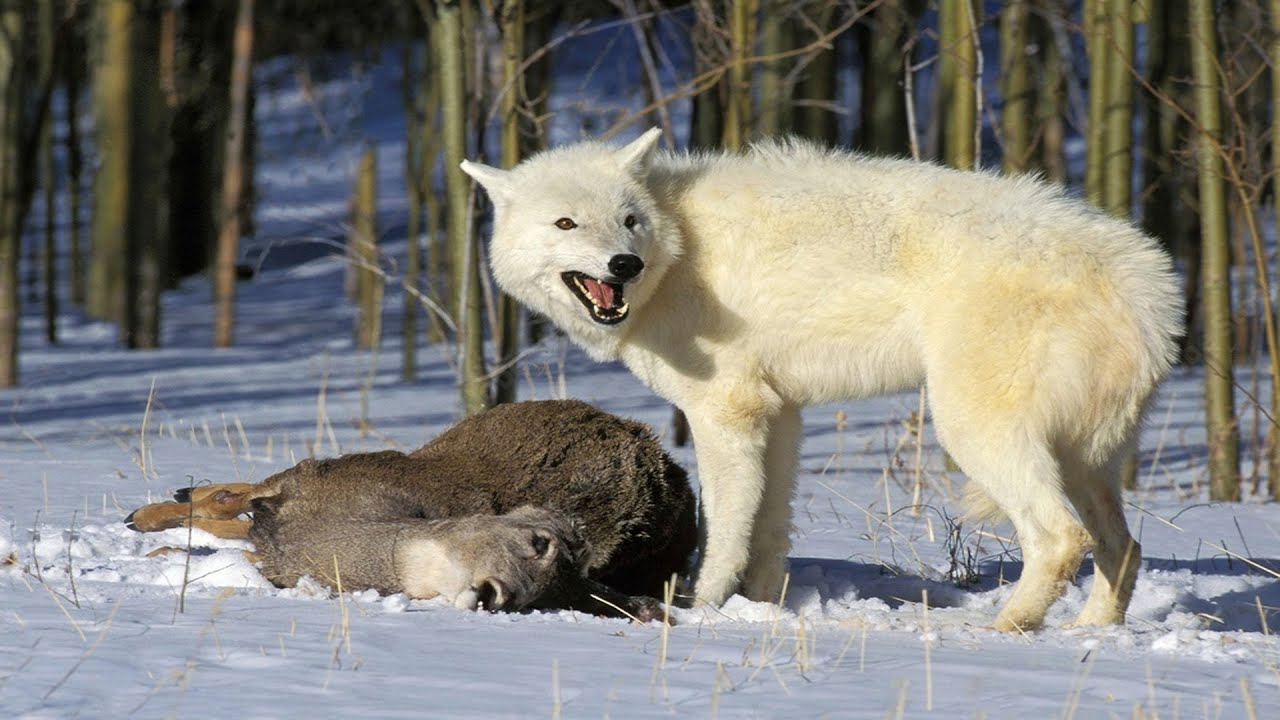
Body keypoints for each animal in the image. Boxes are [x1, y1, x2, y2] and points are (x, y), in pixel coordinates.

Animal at [460, 129, 1182, 631]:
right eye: (566, 223)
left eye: (629, 220)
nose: (624, 263)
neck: (680, 248)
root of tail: (1145, 283)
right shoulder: (779, 414)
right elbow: (769, 529)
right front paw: (763, 609)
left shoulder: (726, 413)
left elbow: (725, 530)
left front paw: (703, 608)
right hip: (1086, 461)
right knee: (1123, 547)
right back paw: (1092, 633)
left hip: (977, 434)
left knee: (1062, 540)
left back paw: (1006, 628)